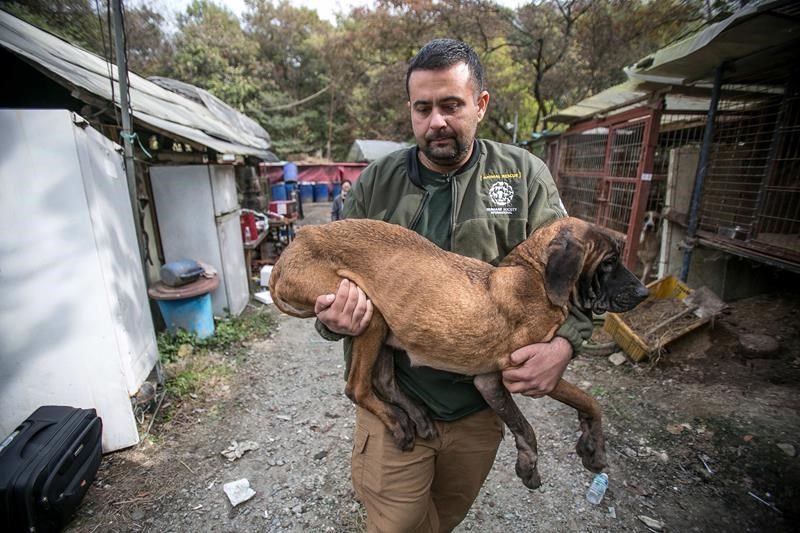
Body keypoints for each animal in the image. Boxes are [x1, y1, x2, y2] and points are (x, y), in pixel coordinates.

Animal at [270, 215, 648, 486]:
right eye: (609, 262)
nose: (645, 293)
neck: (534, 275)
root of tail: (298, 240)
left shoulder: (490, 381)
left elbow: (529, 424)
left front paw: (543, 459)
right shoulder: (517, 373)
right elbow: (584, 403)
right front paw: (591, 448)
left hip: (384, 325)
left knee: (383, 381)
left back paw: (417, 415)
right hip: (369, 312)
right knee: (357, 387)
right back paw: (398, 421)